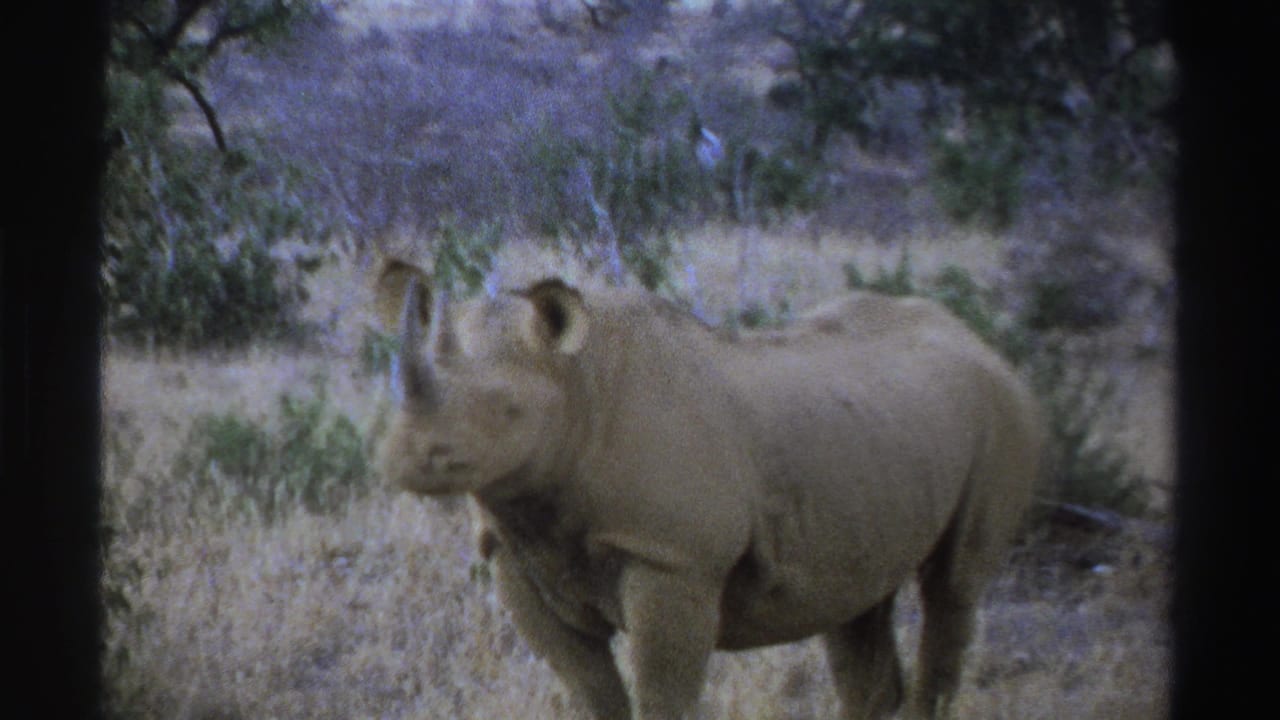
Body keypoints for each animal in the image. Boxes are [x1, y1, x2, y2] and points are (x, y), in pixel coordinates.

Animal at [373, 260, 1043, 720]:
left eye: (508, 410)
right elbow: (591, 692)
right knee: (858, 602)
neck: (576, 380)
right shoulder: (516, 553)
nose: (406, 458)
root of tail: (979, 340)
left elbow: (662, 696)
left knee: (952, 588)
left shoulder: (674, 560)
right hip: (880, 443)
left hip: (1003, 410)